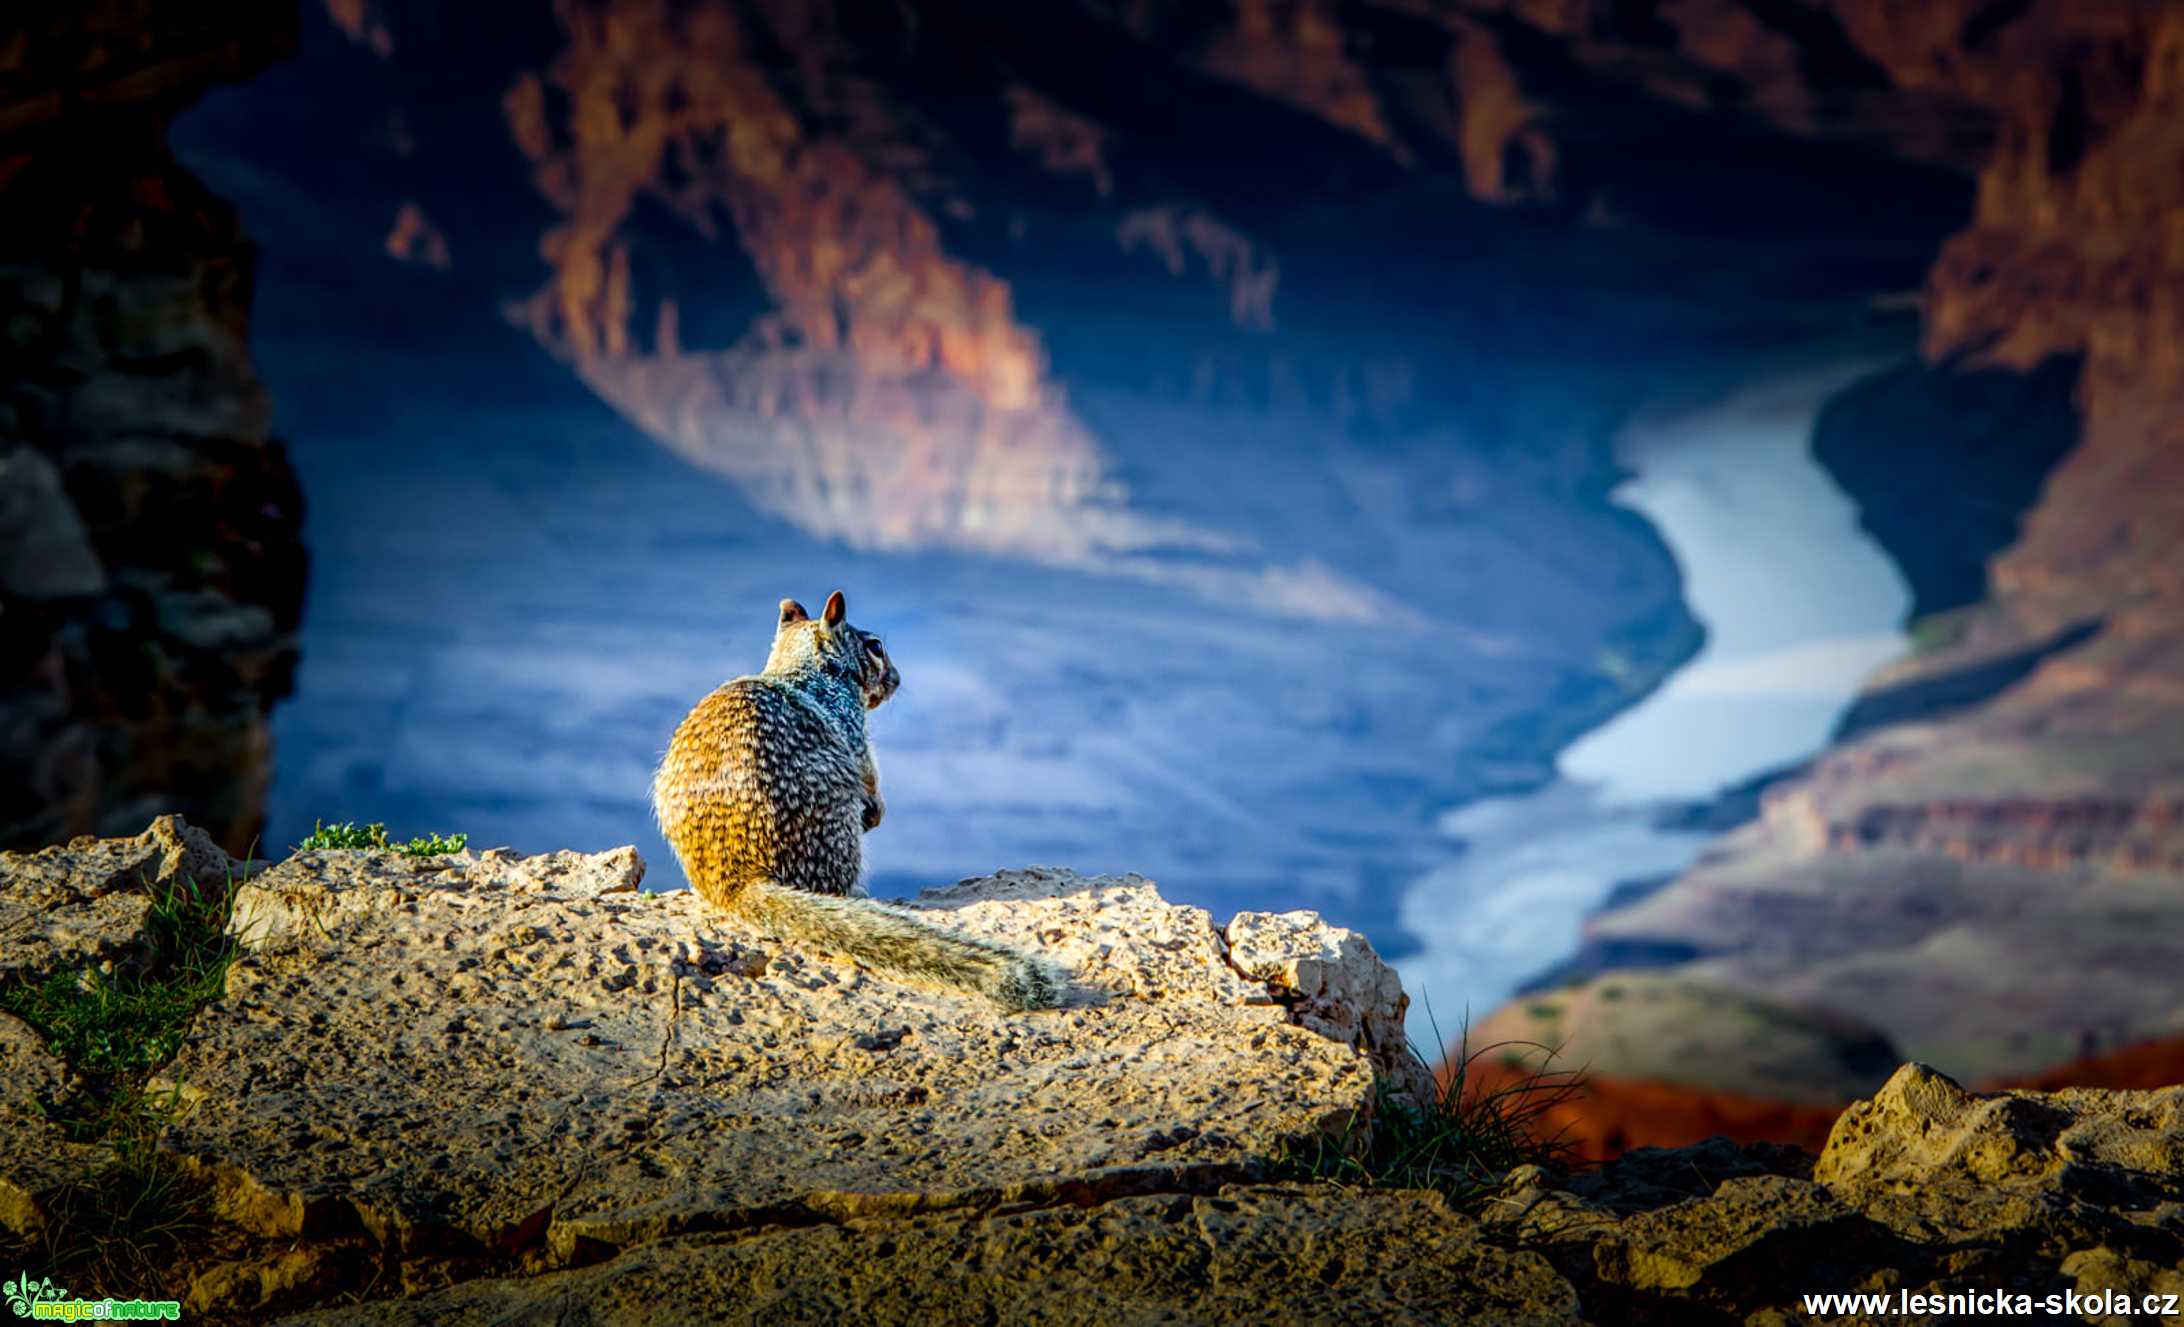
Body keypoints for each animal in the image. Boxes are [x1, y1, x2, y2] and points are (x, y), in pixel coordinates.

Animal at [650, 584, 1061, 1012]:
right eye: (875, 646)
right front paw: (877, 809)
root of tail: (733, 881)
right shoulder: (852, 727)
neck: (804, 669)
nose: (897, 679)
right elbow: (868, 770)